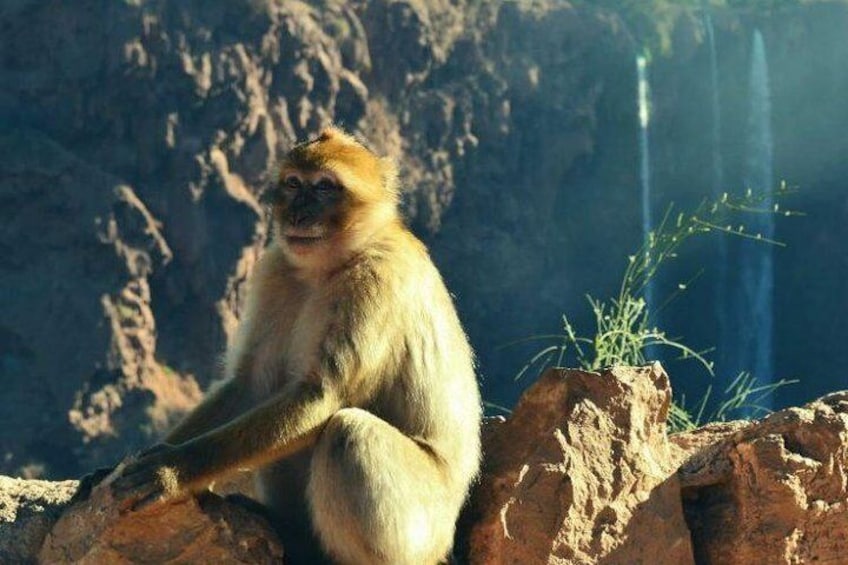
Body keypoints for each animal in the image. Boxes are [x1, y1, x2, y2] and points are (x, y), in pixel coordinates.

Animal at [111, 126, 484, 564]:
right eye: (293, 184)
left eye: (324, 186)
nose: (298, 214)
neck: (331, 266)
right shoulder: (276, 271)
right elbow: (252, 386)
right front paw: (147, 457)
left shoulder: (375, 279)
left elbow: (320, 394)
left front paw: (171, 471)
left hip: (426, 521)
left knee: (349, 434)